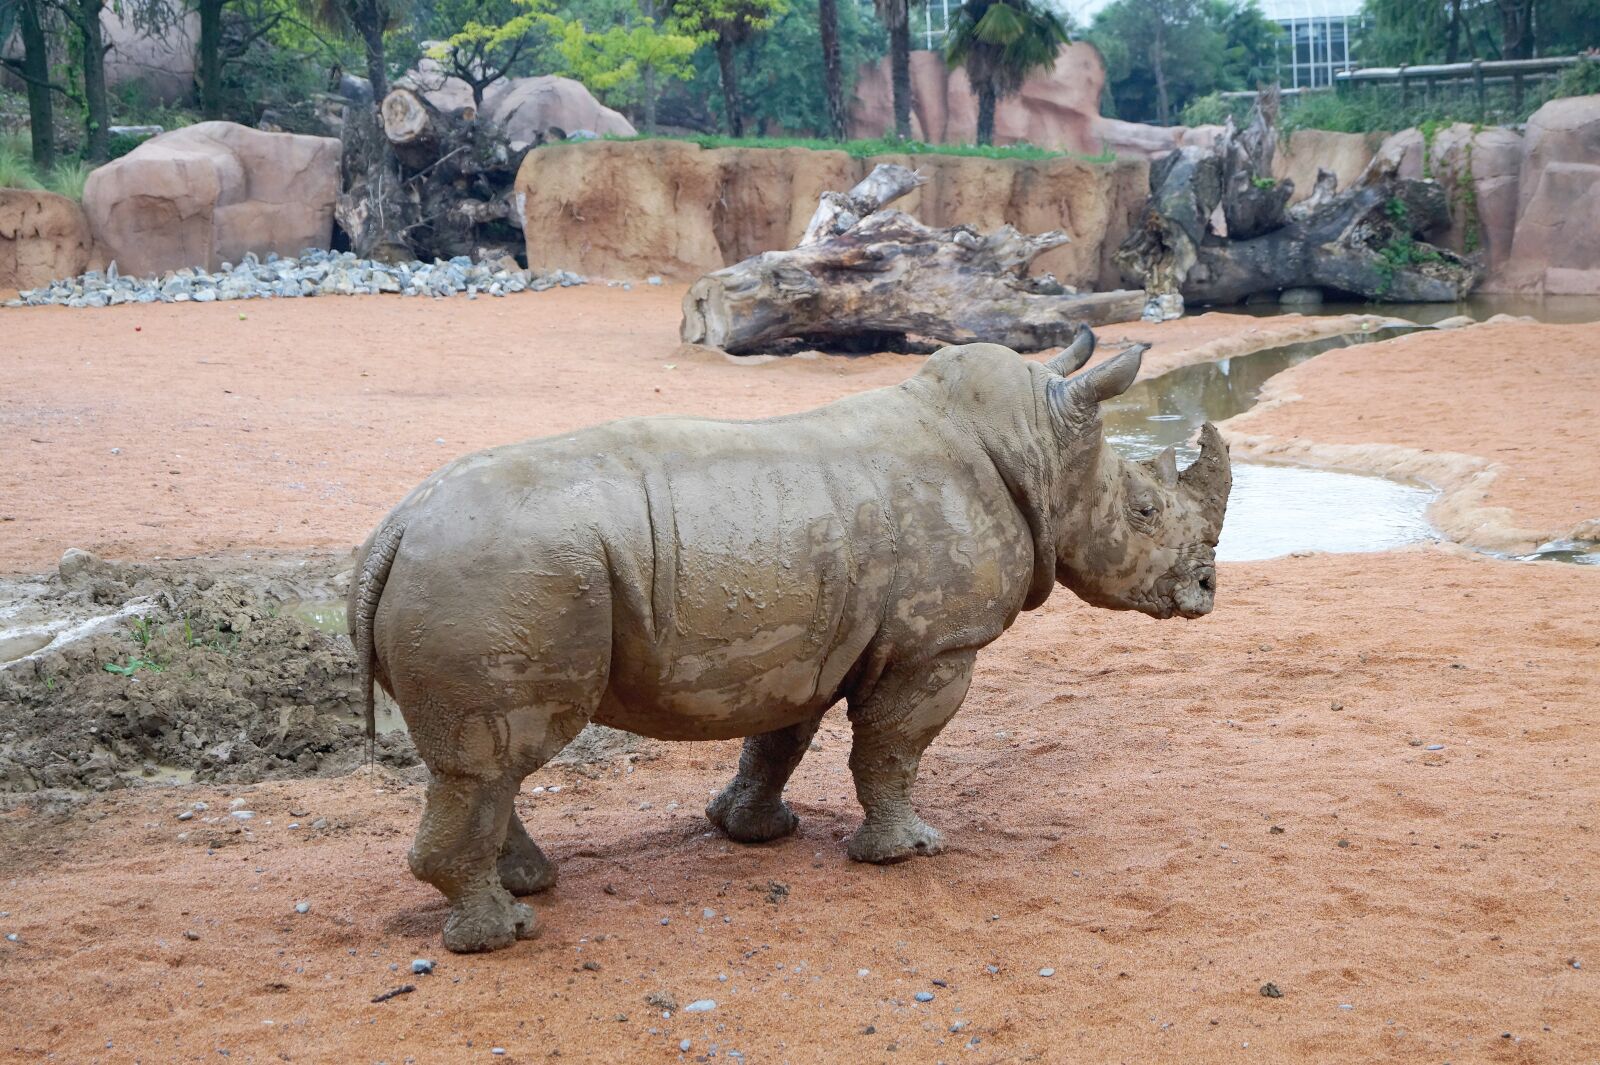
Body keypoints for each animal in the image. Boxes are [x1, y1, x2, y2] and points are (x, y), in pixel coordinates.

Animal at [349, 328, 1231, 953]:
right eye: (1145, 511)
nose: (1206, 590)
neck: (1042, 446)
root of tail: (393, 531)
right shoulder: (936, 647)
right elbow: (893, 747)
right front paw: (909, 851)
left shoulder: (814, 637)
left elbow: (778, 739)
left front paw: (753, 831)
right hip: (495, 574)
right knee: (492, 759)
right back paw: (507, 934)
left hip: (479, 572)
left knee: (484, 767)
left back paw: (529, 886)